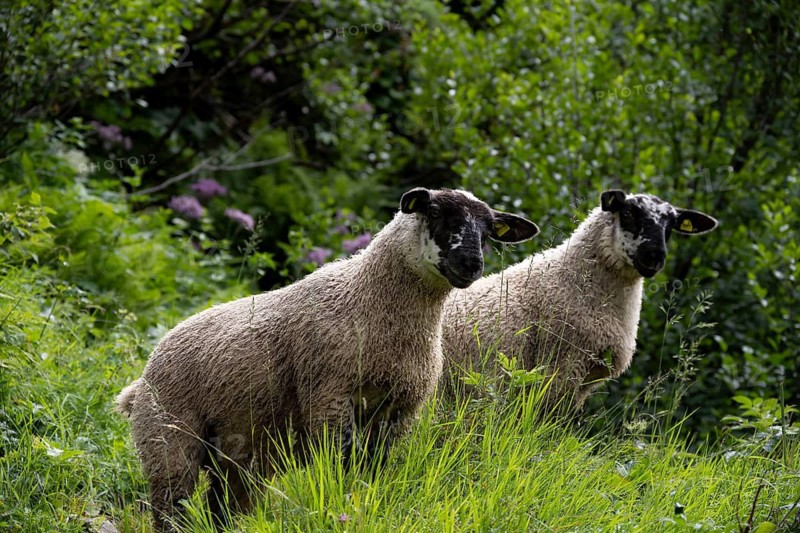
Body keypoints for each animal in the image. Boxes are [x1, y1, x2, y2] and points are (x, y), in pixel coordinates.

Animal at [116, 187, 539, 531]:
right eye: (434, 212)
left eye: (488, 230)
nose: (470, 264)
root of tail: (140, 380)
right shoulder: (329, 397)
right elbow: (340, 466)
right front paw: (341, 504)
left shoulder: (400, 408)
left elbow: (373, 472)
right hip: (168, 441)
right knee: (171, 508)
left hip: (238, 452)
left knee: (223, 508)